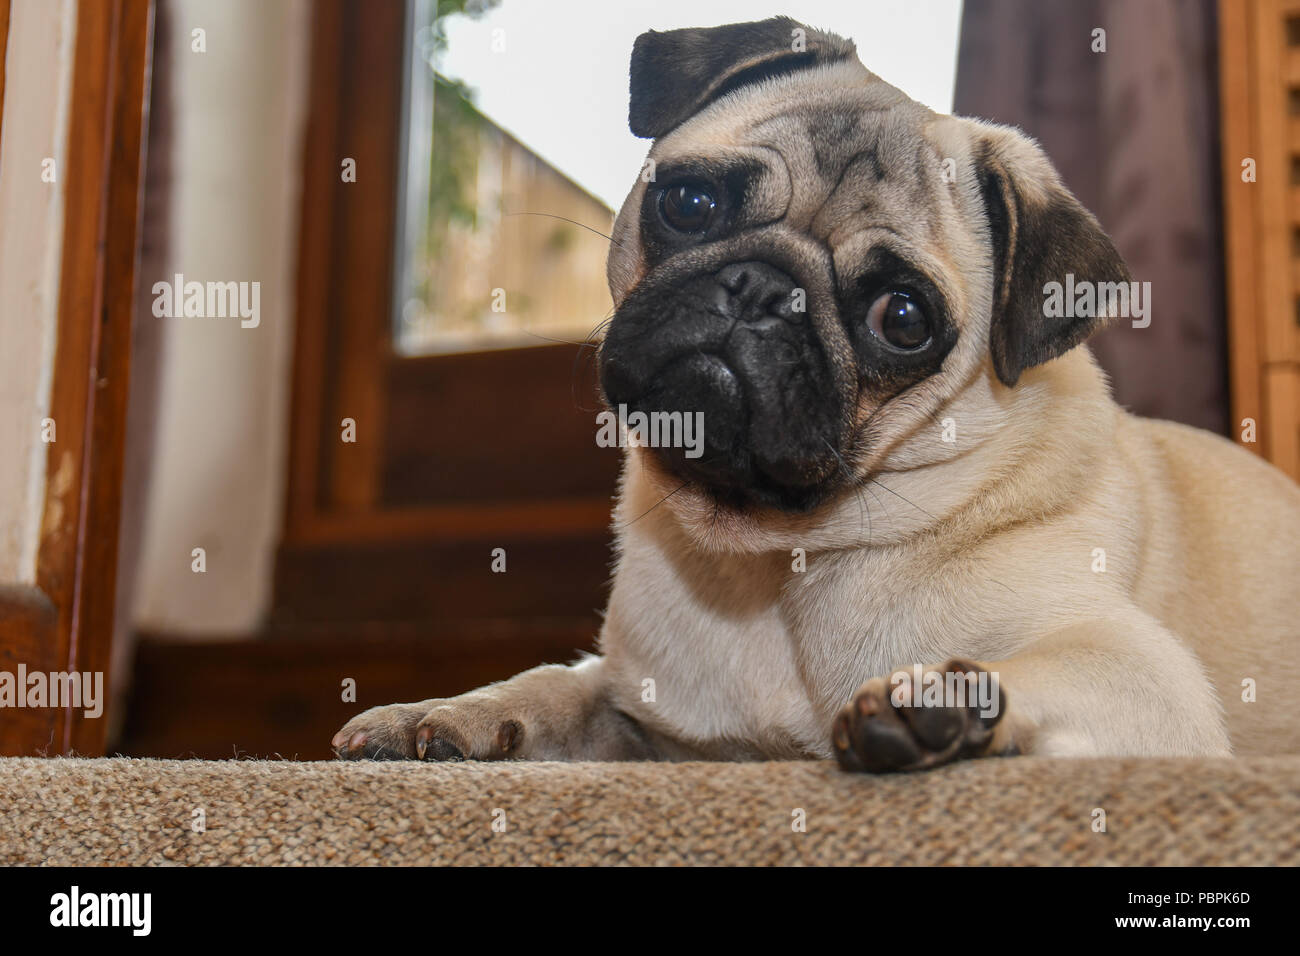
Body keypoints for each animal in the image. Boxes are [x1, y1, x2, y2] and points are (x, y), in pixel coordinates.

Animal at [332, 18, 1300, 775]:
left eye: (902, 318)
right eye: (689, 203)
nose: (763, 290)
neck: (774, 564)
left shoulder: (1139, 674)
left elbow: (1041, 671)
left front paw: (941, 703)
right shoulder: (645, 717)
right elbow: (555, 685)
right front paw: (447, 713)